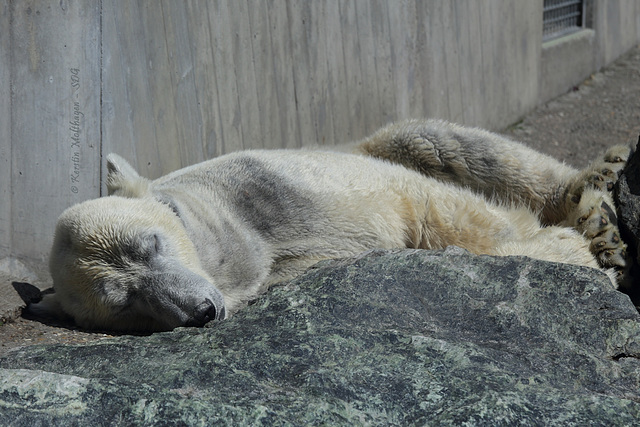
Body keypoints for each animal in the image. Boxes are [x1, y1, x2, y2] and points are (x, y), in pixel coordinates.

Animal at [30, 118, 632, 332]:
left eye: (151, 243)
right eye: (123, 302)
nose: (201, 310)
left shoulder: (280, 187)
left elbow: (439, 211)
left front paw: (575, 251)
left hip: (374, 143)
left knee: (448, 144)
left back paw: (597, 196)